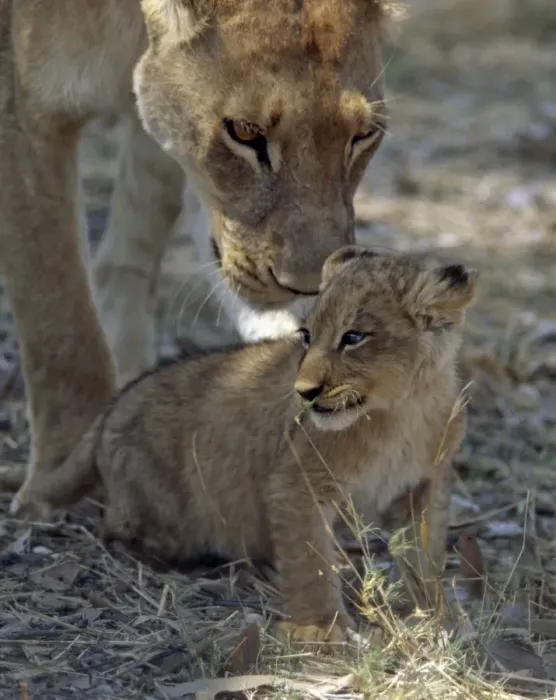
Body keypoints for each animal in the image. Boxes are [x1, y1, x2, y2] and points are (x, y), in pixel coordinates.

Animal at [0, 0, 393, 514]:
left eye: (364, 134)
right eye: (245, 132)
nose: (308, 286)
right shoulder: (26, 110)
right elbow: (58, 320)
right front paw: (62, 478)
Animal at [15, 247, 478, 644]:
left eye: (354, 337)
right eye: (307, 336)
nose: (304, 392)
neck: (400, 412)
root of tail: (112, 407)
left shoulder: (423, 485)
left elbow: (427, 554)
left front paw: (439, 616)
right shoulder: (295, 482)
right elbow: (309, 560)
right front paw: (319, 629)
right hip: (158, 506)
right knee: (113, 529)